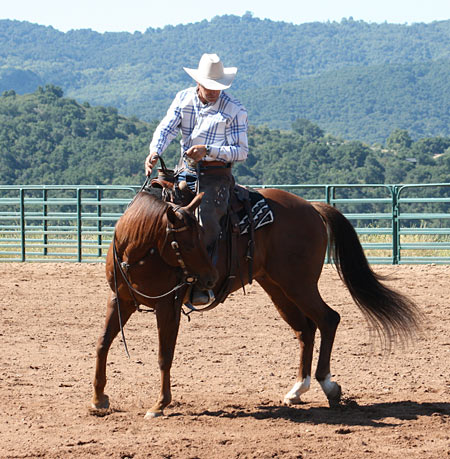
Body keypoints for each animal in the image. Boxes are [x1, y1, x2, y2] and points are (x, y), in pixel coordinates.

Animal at [92, 189, 422, 418]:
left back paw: (328, 386)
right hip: (277, 287)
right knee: (305, 330)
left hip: (299, 284)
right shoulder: (119, 299)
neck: (136, 250)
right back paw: (297, 390)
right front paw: (98, 399)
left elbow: (164, 356)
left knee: (329, 319)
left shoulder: (167, 305)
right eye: (184, 242)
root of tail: (312, 207)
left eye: (202, 237)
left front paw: (159, 405)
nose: (209, 278)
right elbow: (102, 343)